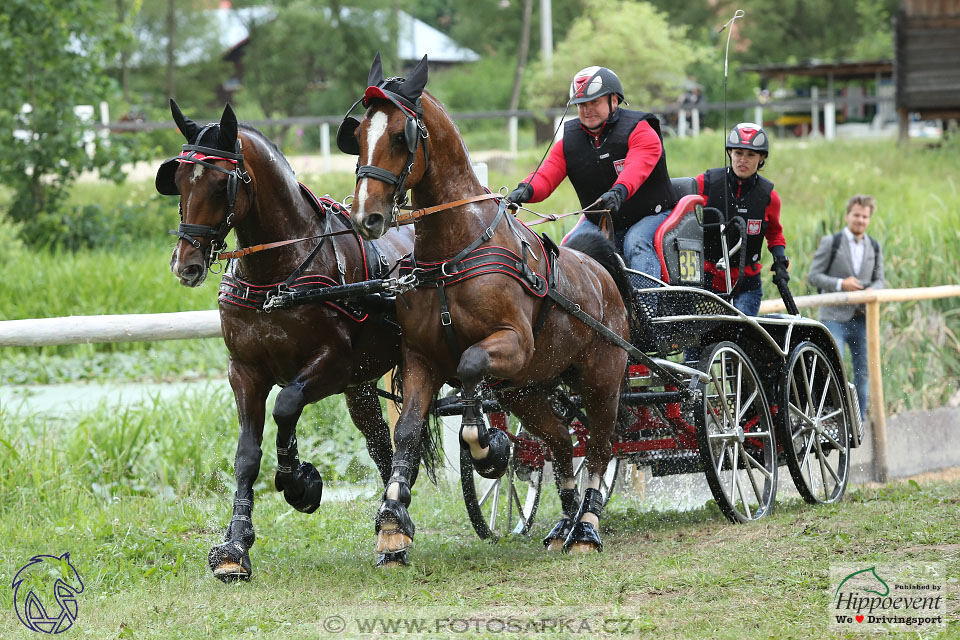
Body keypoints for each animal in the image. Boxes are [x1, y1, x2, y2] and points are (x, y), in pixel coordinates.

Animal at [156, 99, 418, 580]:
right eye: (178, 180)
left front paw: (299, 482)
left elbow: (286, 405)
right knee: (381, 446)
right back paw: (389, 530)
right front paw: (235, 545)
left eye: (221, 184)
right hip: (362, 388)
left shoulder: (332, 364)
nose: (186, 265)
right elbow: (246, 454)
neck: (278, 275)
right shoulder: (244, 372)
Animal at [342, 55, 632, 564]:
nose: (365, 217)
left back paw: (587, 525)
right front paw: (393, 521)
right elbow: (408, 431)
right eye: (358, 137)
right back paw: (565, 519)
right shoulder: (421, 359)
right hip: (528, 390)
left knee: (599, 447)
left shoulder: (511, 344)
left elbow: (471, 367)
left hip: (602, 378)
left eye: (400, 135)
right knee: (560, 441)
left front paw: (488, 447)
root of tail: (603, 276)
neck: (453, 250)